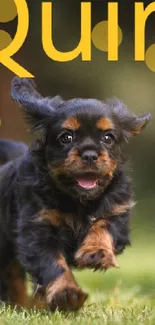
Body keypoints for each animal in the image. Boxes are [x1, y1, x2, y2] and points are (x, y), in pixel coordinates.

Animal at [0, 77, 151, 310]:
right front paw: (66, 294)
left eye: (108, 137)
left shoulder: (118, 212)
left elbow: (102, 226)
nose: (89, 155)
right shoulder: (37, 229)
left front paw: (96, 252)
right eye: (66, 137)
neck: (79, 201)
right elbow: (54, 264)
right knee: (12, 276)